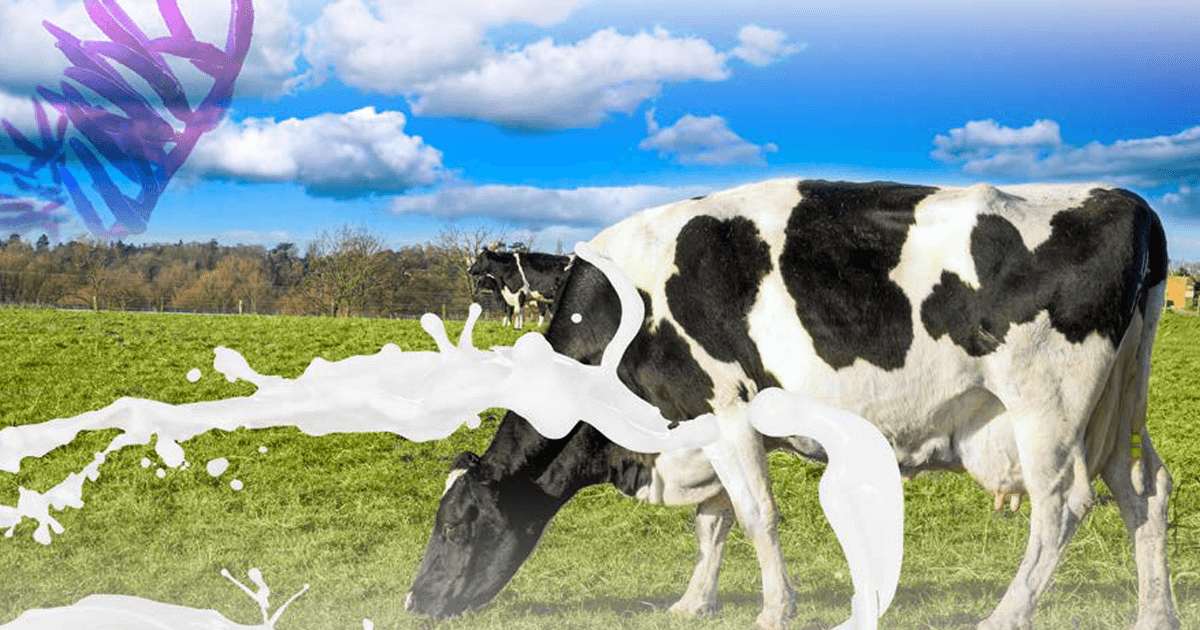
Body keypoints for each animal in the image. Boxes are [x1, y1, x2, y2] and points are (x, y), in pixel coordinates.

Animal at [406, 179, 1179, 630]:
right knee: (1144, 488)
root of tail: (1127, 201)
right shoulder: (698, 427)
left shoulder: (723, 409)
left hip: (1045, 402)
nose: (413, 603)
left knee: (1062, 505)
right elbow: (713, 523)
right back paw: (1156, 614)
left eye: (454, 524)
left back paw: (1005, 616)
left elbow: (755, 516)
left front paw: (775, 610)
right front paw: (694, 603)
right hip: (1121, 404)